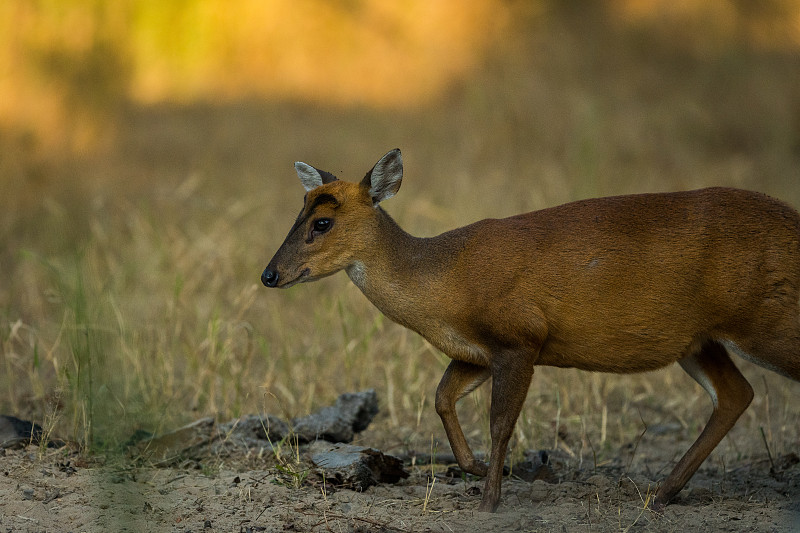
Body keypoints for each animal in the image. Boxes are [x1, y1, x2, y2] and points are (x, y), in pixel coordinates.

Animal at [260, 149, 800, 512]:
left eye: (323, 222)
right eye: (298, 212)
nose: (269, 274)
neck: (445, 280)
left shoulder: (522, 336)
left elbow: (500, 422)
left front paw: (489, 501)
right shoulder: (479, 350)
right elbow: (441, 397)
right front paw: (481, 469)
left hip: (767, 319)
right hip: (700, 339)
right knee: (736, 394)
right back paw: (660, 493)